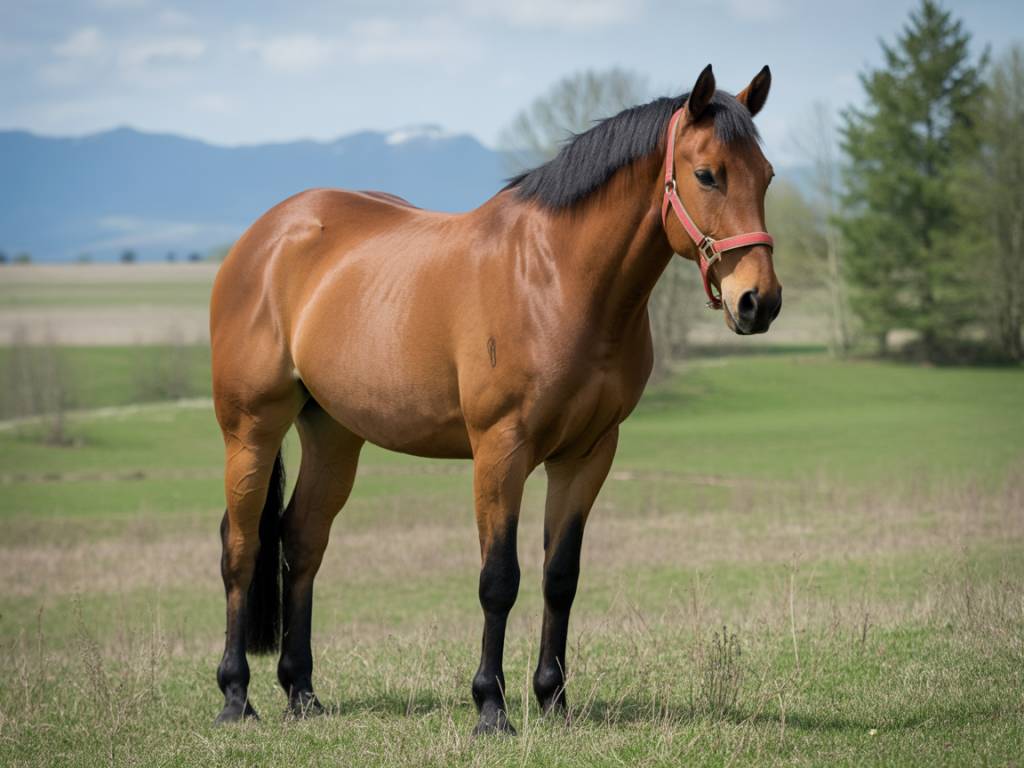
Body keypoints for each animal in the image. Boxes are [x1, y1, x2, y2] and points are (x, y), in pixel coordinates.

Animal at [209, 63, 782, 734]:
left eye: (766, 175)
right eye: (708, 173)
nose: (759, 302)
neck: (554, 279)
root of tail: (267, 235)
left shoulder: (587, 454)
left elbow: (561, 576)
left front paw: (553, 698)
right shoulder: (500, 451)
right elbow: (499, 578)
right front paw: (491, 707)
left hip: (332, 433)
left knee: (301, 542)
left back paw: (302, 693)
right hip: (250, 429)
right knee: (241, 547)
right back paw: (235, 696)